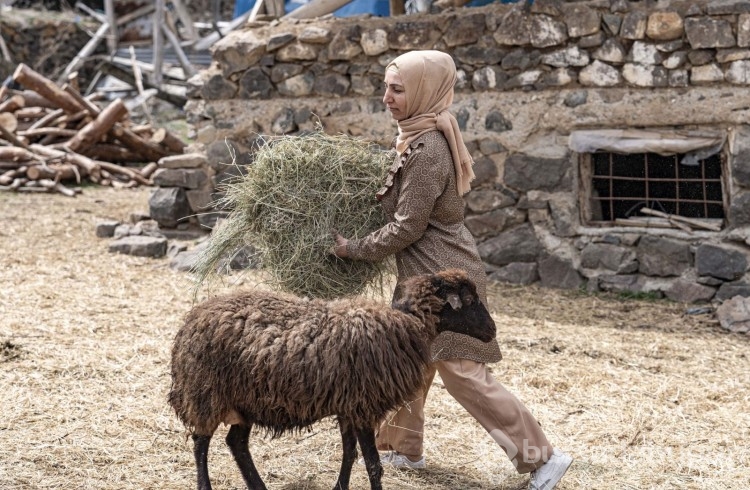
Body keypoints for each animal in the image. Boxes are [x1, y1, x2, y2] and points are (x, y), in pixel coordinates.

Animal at [170, 268, 500, 490]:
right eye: (468, 299)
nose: (492, 330)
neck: (408, 325)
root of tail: (190, 322)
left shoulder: (349, 406)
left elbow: (349, 454)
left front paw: (340, 486)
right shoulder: (364, 407)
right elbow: (373, 464)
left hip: (244, 400)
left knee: (236, 442)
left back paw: (258, 486)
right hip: (206, 393)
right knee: (201, 443)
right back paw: (206, 485)